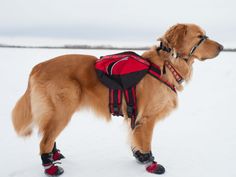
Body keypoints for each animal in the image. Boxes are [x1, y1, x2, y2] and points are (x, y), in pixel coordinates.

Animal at [12, 23, 223, 176]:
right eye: (200, 37)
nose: (222, 47)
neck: (165, 65)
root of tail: (39, 66)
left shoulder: (134, 117)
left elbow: (135, 140)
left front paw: (140, 157)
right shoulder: (147, 118)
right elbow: (147, 143)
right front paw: (151, 164)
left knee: (48, 136)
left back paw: (55, 155)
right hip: (62, 110)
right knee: (44, 140)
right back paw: (51, 167)